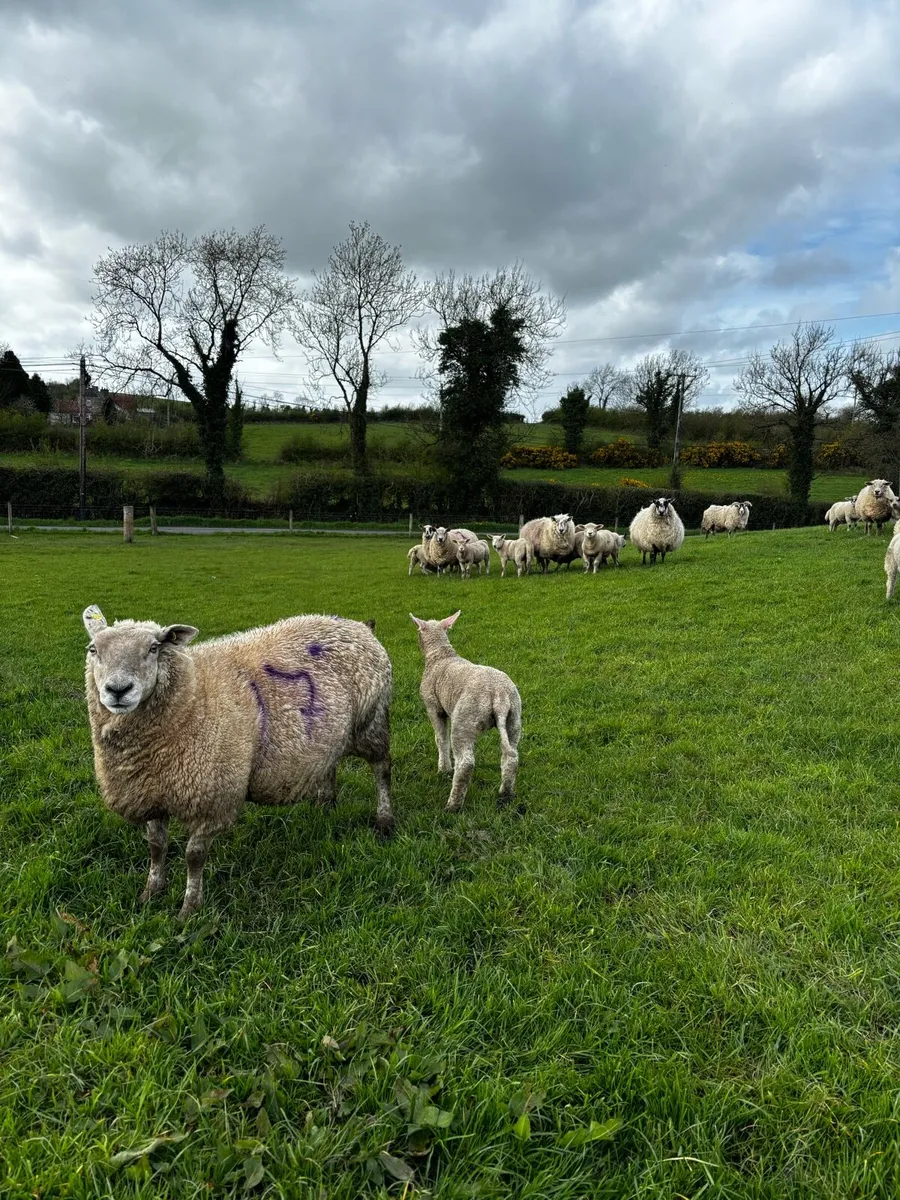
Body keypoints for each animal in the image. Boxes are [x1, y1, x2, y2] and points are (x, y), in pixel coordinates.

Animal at [81, 605, 395, 919]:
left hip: (372, 721)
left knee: (382, 769)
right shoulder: (152, 793)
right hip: (328, 731)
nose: (118, 689)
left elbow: (194, 857)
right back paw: (325, 808)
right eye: (93, 649)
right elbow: (156, 847)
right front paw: (151, 893)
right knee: (329, 763)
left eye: (154, 648)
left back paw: (384, 821)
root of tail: (359, 626)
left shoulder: (212, 798)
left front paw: (189, 910)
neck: (193, 697)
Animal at [410, 610, 521, 811]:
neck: (440, 656)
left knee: (466, 763)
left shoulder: (433, 706)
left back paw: (453, 805)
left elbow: (440, 739)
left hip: (465, 719)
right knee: (511, 757)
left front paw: (444, 769)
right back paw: (505, 793)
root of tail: (499, 695)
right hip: (514, 719)